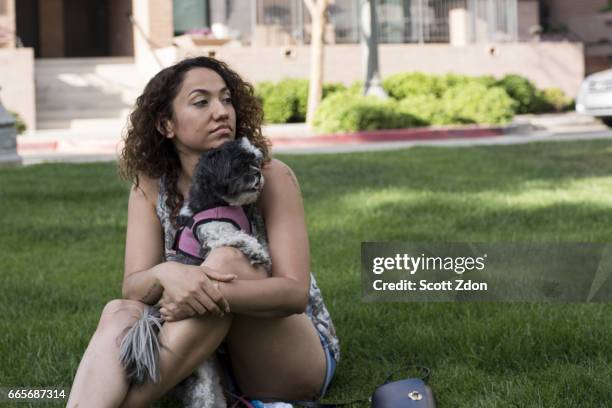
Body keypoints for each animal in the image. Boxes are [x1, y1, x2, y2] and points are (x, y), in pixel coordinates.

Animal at [119, 137, 270, 408]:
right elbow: (237, 237)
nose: (257, 174)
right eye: (240, 165)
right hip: (202, 375)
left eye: (256, 161)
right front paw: (256, 251)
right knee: (203, 397)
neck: (219, 203)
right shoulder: (214, 232)